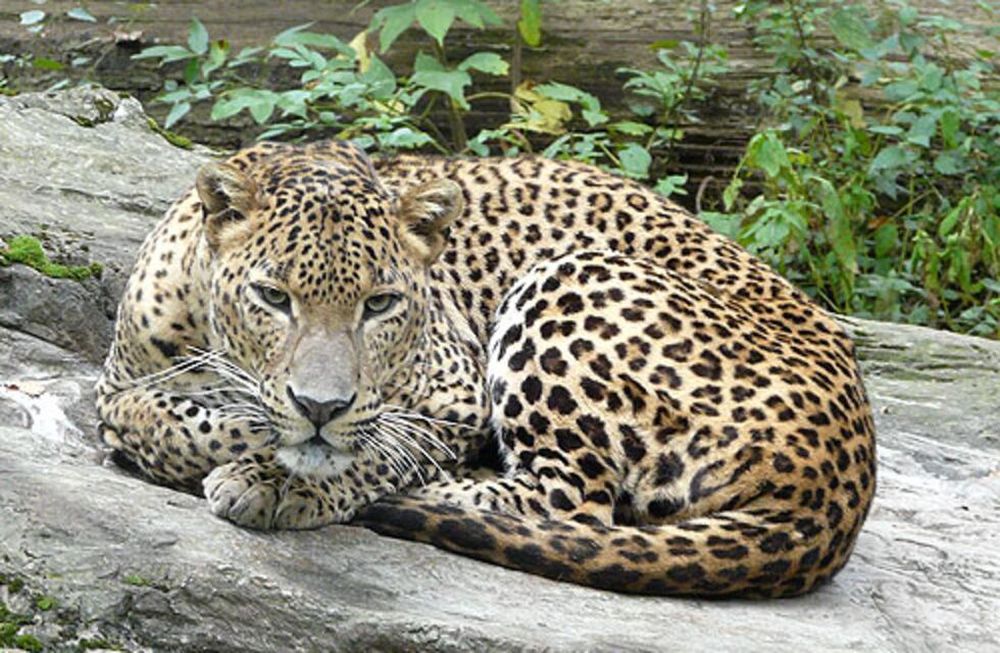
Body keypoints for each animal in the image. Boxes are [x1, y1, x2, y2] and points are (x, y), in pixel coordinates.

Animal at [96, 139, 876, 598]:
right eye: (272, 296)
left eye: (380, 303)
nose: (322, 404)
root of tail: (848, 485)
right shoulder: (117, 380)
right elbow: (161, 417)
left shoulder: (455, 395)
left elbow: (368, 450)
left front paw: (274, 480)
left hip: (570, 278)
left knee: (573, 504)